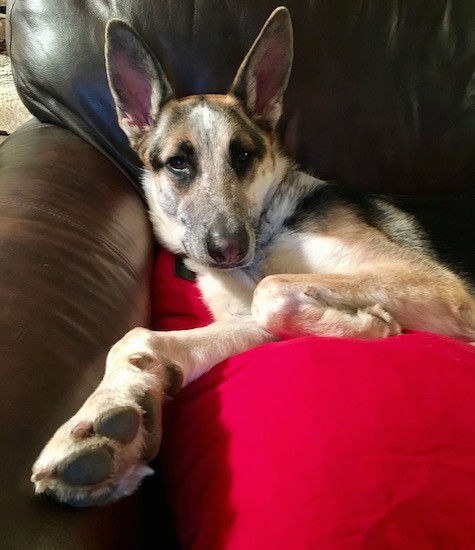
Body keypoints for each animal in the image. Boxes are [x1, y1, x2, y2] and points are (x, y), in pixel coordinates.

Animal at [30, 7, 475, 508]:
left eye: (243, 155)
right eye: (178, 163)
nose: (228, 249)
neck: (265, 233)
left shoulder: (435, 283)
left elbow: (271, 289)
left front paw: (366, 325)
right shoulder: (245, 321)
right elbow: (139, 339)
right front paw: (106, 417)